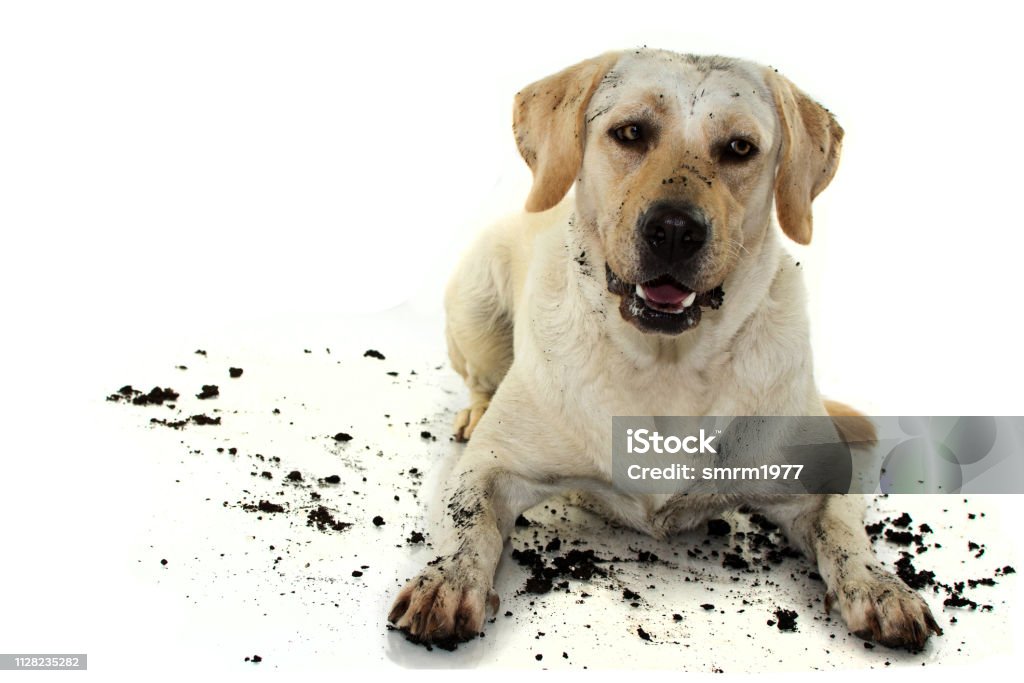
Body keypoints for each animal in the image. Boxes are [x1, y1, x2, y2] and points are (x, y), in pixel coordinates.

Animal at [385, 49, 942, 651]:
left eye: (740, 148)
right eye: (630, 132)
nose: (674, 230)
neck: (665, 364)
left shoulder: (820, 475)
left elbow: (845, 529)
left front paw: (881, 588)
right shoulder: (491, 466)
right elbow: (469, 519)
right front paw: (447, 580)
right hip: (476, 301)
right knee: (481, 380)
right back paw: (477, 409)